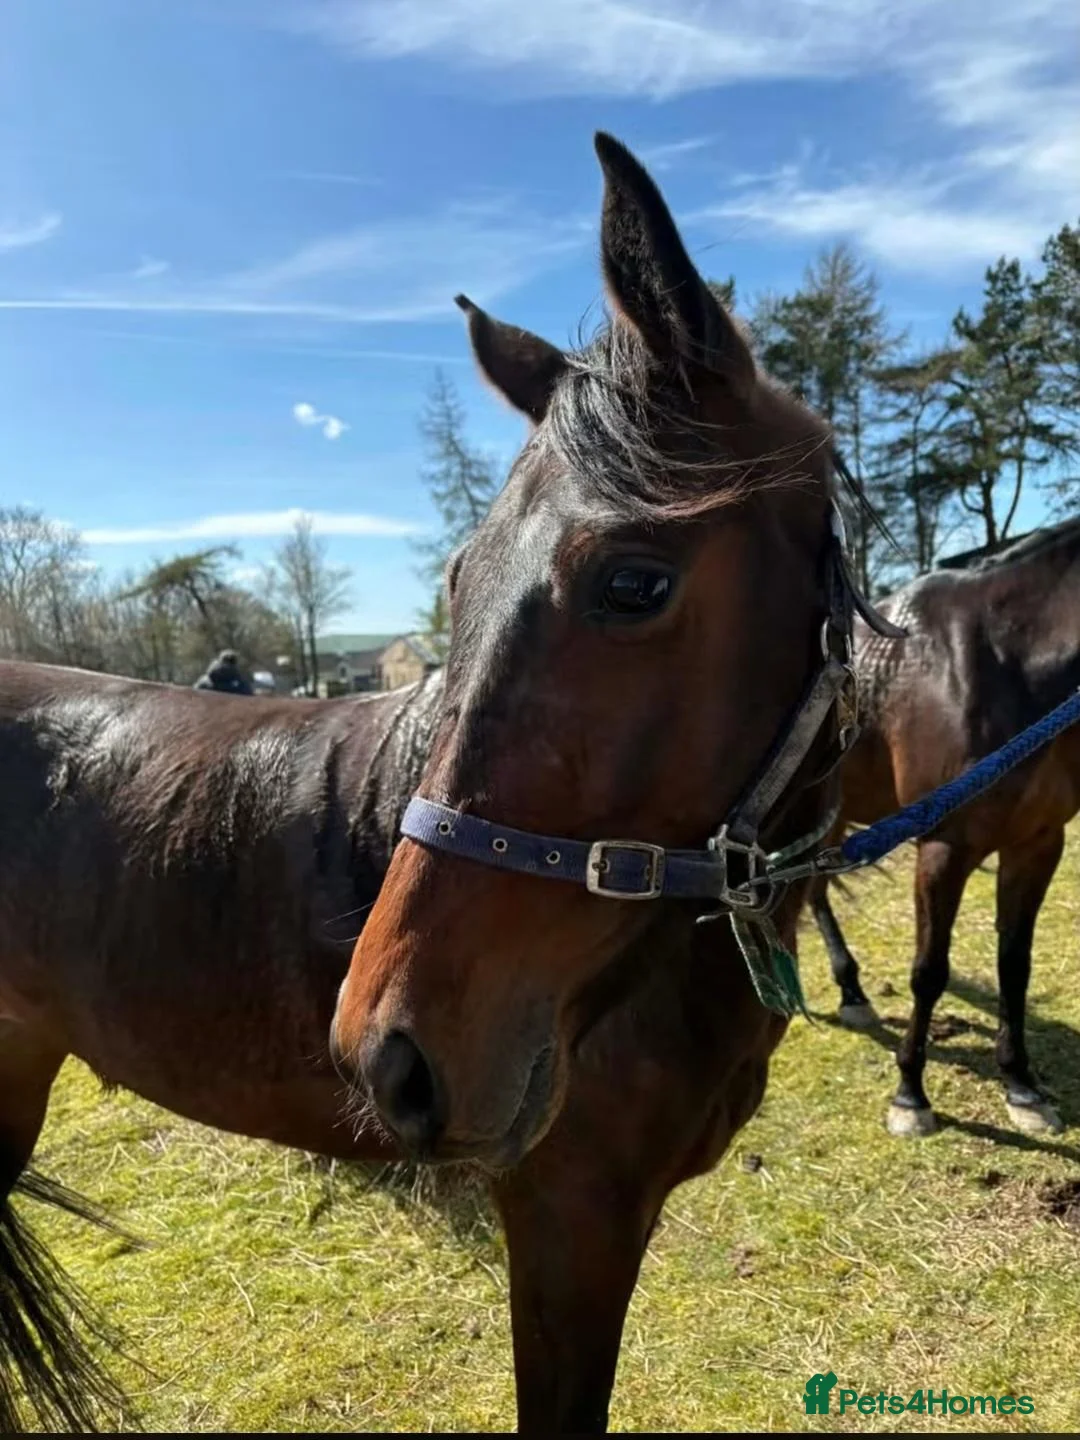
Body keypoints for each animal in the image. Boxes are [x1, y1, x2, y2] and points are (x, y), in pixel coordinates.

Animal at [809, 515, 1080, 1138]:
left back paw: (851, 991)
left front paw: (1022, 1085)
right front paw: (910, 1094)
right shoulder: (943, 847)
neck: (1010, 660)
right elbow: (929, 971)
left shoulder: (1037, 844)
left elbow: (1014, 964)